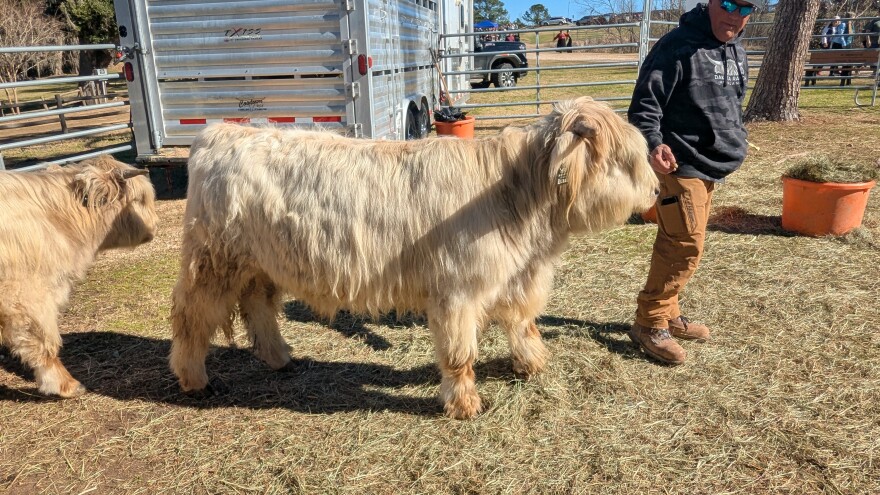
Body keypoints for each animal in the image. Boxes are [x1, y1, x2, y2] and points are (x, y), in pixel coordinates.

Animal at [170, 97, 659, 419]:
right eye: (625, 159)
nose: (657, 190)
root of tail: (222, 132)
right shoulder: (457, 290)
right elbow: (460, 351)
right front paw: (464, 404)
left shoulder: (513, 278)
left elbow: (523, 325)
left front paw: (533, 364)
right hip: (214, 261)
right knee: (192, 316)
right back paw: (195, 380)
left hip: (261, 263)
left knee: (258, 307)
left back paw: (280, 357)